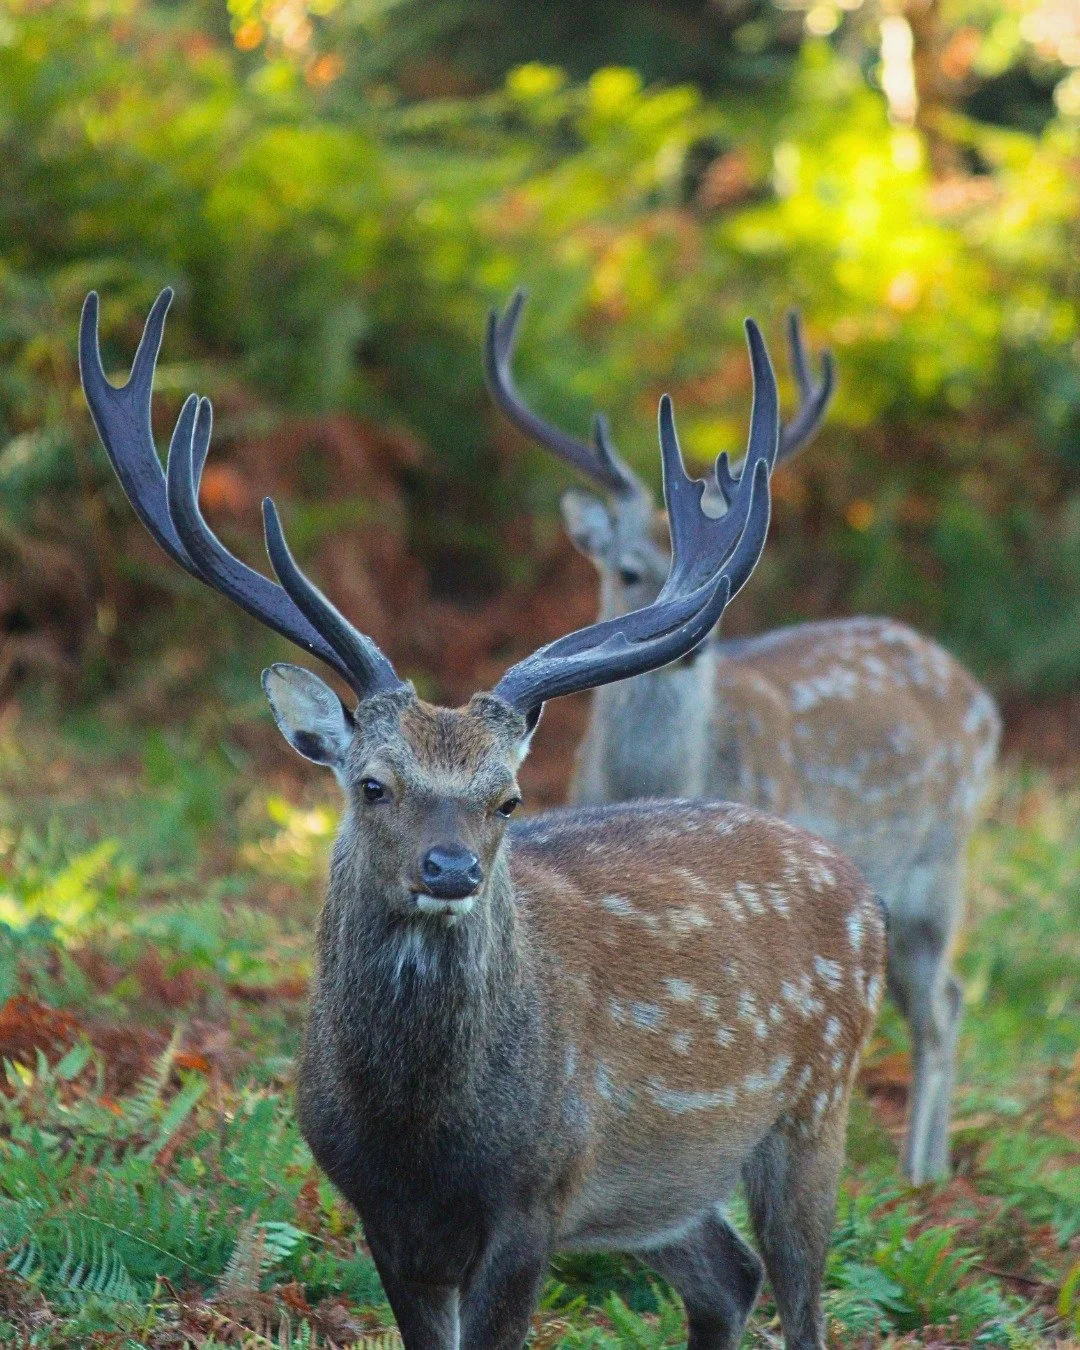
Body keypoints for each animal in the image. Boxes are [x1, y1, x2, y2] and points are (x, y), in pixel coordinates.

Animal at [81, 287, 887, 1350]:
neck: (422, 1137)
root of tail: (861, 889)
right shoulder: (382, 1213)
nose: (452, 870)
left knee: (799, 1296)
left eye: (509, 797)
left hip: (813, 1108)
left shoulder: (537, 1191)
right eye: (372, 784)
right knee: (727, 1274)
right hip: (658, 1187)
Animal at [485, 291, 1001, 1186]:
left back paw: (916, 1174)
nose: (689, 645)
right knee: (949, 997)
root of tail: (983, 700)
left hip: (940, 863)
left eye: (722, 578)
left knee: (941, 1006)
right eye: (626, 569)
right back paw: (932, 1167)